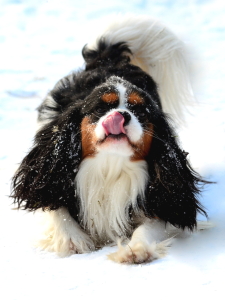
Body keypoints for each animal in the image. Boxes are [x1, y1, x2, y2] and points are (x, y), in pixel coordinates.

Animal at [11, 15, 209, 264]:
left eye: (141, 111)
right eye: (101, 108)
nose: (122, 115)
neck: (109, 167)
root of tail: (105, 59)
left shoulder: (164, 195)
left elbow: (153, 223)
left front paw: (136, 248)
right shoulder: (48, 168)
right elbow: (53, 205)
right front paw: (72, 239)